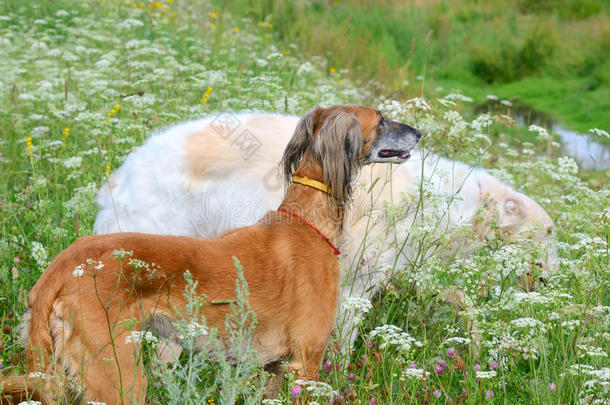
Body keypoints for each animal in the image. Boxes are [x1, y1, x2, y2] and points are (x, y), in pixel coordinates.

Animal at [0, 105, 418, 402]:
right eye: (381, 119)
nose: (418, 133)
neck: (305, 221)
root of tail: (59, 268)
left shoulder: (273, 368)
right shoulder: (307, 362)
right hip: (120, 378)